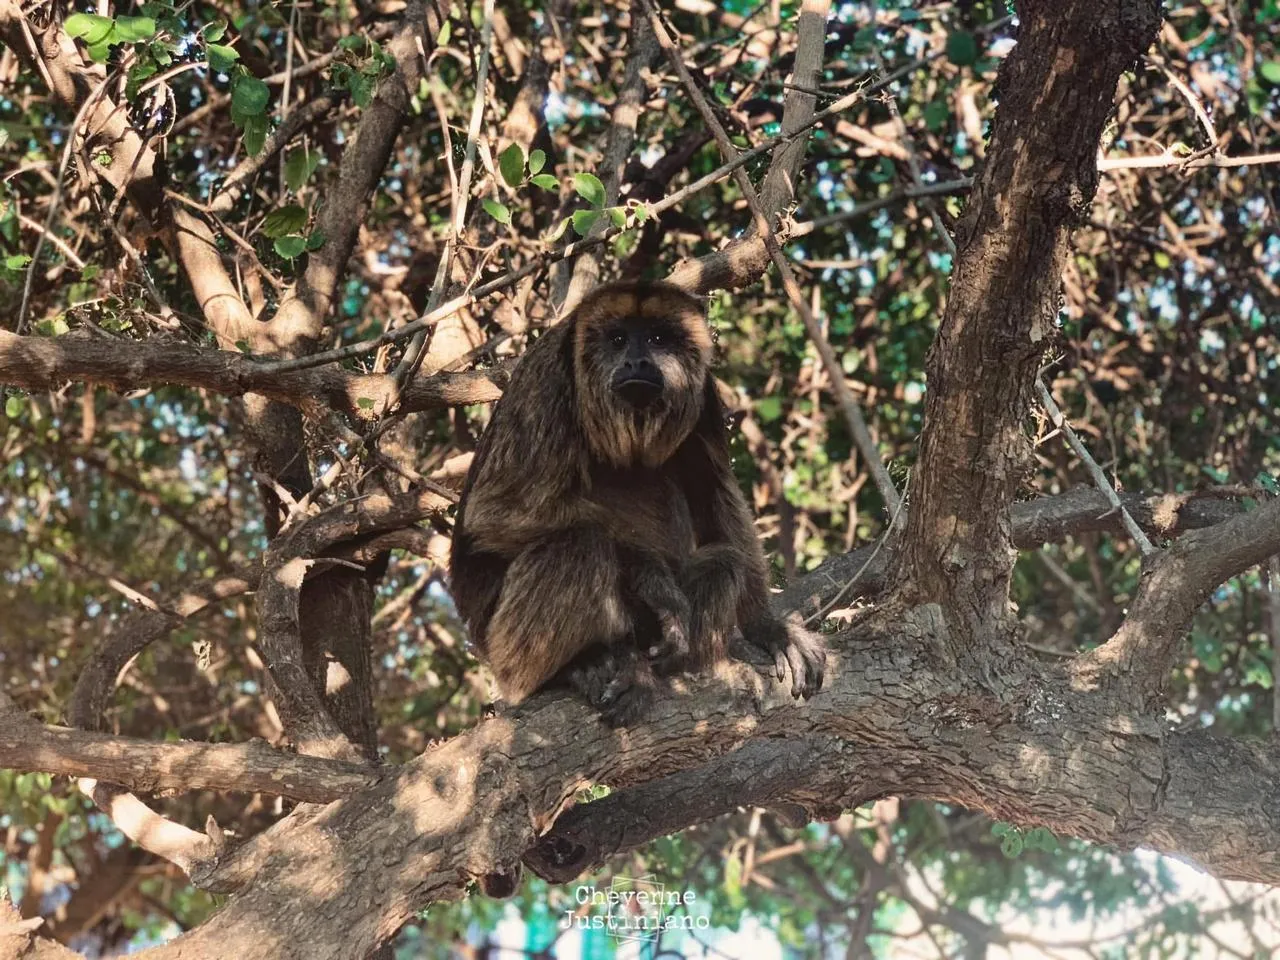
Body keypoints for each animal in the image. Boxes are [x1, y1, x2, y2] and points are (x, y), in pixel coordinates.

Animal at [449, 279, 826, 730]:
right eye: (618, 339)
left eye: (658, 338)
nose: (636, 361)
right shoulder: (544, 381)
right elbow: (492, 513)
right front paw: (651, 580)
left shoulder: (705, 396)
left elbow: (716, 494)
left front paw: (766, 627)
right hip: (498, 648)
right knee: (579, 545)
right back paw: (580, 666)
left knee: (722, 562)